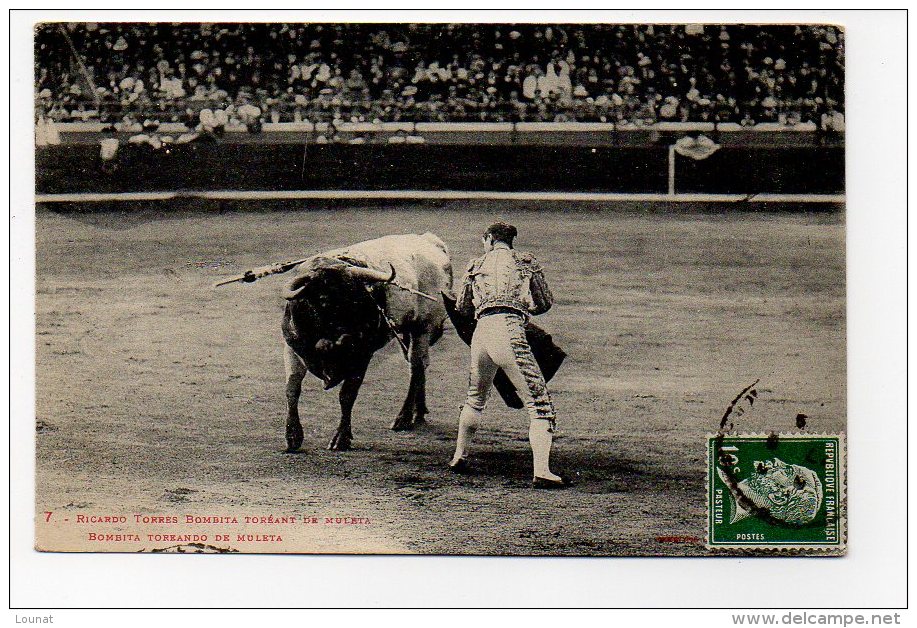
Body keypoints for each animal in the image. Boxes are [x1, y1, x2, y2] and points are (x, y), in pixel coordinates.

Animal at [278, 231, 452, 452]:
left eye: (355, 297)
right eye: (322, 299)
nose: (346, 338)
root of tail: (429, 240)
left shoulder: (362, 354)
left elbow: (347, 395)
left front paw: (341, 437)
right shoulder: (292, 348)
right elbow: (292, 388)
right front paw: (292, 435)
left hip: (423, 327)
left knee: (417, 366)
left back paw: (404, 417)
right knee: (419, 365)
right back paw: (418, 412)